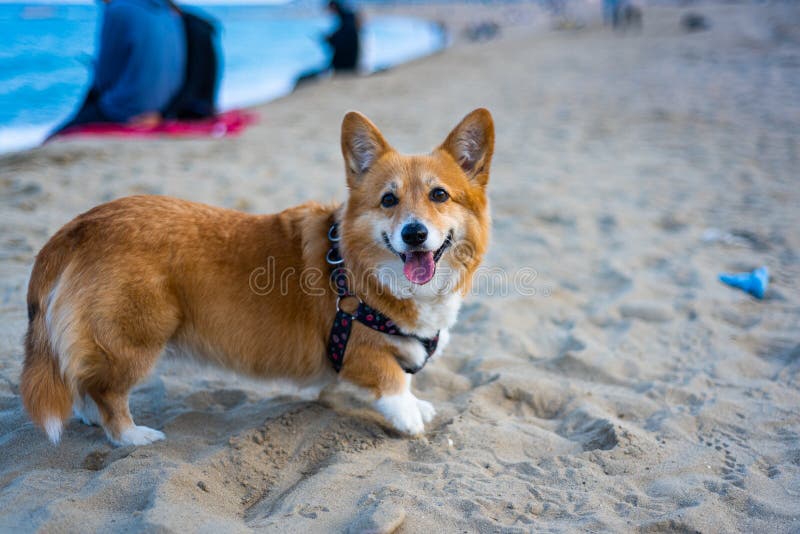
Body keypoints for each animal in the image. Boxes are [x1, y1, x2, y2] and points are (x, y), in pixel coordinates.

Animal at [20, 109, 494, 448]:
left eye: (439, 195)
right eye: (389, 200)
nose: (413, 233)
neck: (362, 269)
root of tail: (77, 227)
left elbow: (407, 378)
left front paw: (419, 403)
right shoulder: (357, 351)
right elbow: (393, 380)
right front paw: (409, 417)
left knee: (82, 376)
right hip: (136, 338)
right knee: (108, 392)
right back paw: (131, 436)